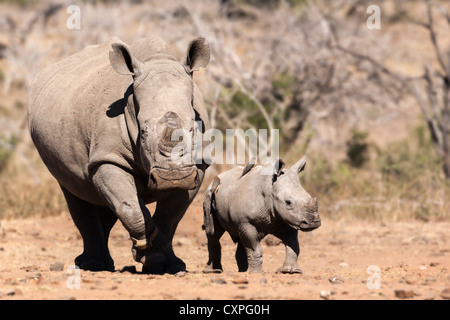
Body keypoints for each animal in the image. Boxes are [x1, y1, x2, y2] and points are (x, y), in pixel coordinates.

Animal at [27, 36, 210, 274]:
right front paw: (149, 255)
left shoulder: (198, 165)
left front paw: (169, 263)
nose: (172, 178)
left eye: (192, 129)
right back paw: (92, 266)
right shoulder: (108, 157)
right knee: (76, 193)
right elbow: (131, 208)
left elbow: (170, 216)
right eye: (143, 132)